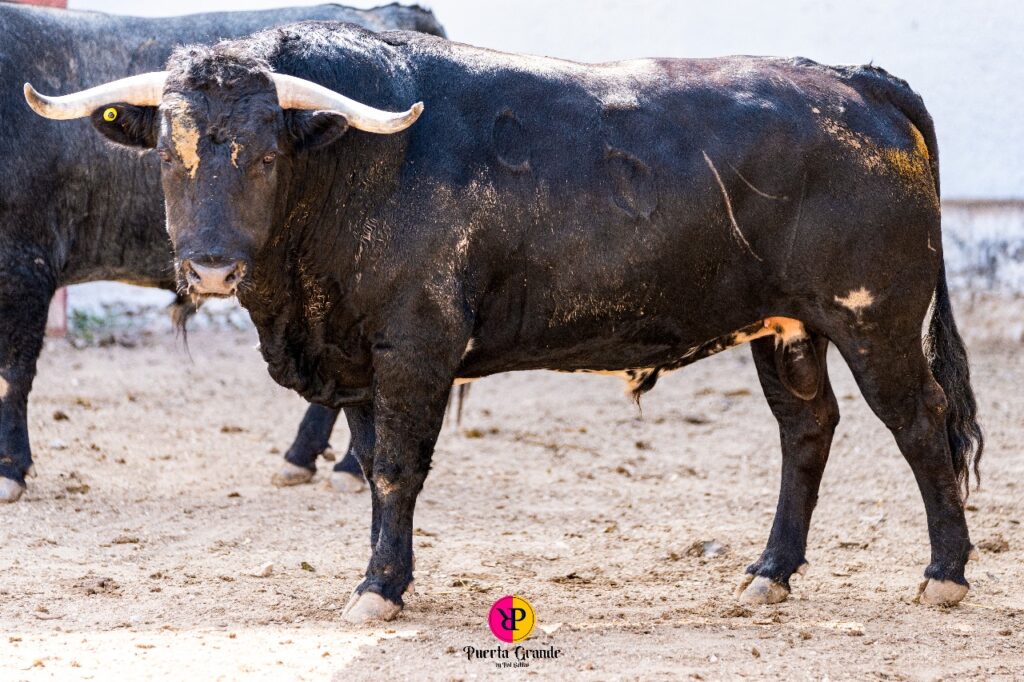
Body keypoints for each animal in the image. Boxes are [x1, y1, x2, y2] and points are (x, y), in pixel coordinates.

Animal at [0, 2, 444, 501]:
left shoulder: (25, 264)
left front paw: (10, 469)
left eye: (268, 158)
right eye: (165, 156)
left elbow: (13, 371)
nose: (211, 273)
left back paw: (341, 465)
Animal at [28, 22, 978, 614]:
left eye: (266, 154)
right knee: (807, 429)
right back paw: (770, 574)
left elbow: (396, 470)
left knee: (922, 425)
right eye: (169, 152)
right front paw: (386, 575)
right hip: (789, 331)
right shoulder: (360, 359)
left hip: (875, 319)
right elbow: (372, 468)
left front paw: (378, 591)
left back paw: (945, 574)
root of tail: (856, 82)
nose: (212, 267)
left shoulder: (415, 346)